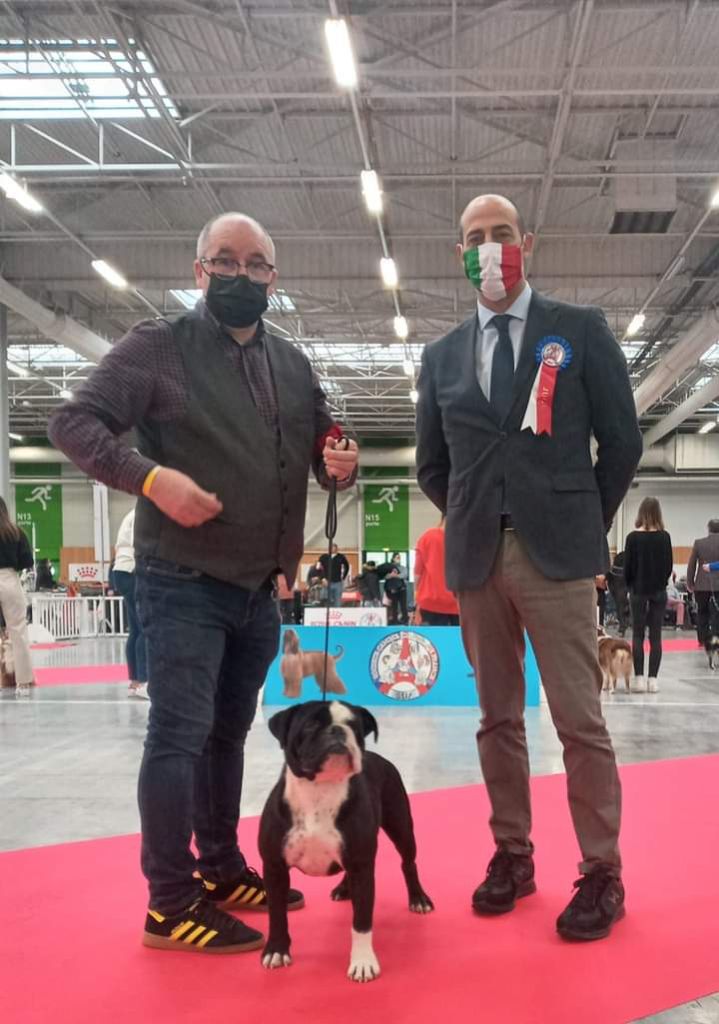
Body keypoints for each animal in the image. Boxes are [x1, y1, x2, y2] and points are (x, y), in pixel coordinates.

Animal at [258, 700, 434, 983]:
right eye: (310, 725)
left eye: (354, 726)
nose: (338, 730)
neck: (319, 791)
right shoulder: (274, 867)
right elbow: (277, 914)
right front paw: (276, 950)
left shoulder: (362, 866)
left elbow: (361, 921)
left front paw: (363, 962)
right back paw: (343, 889)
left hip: (402, 828)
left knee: (408, 864)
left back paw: (418, 898)